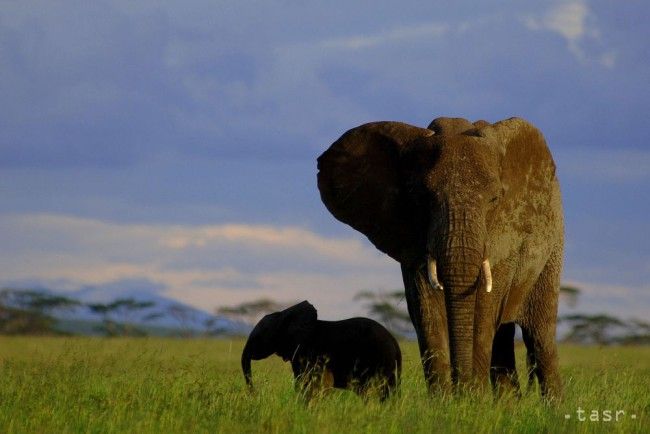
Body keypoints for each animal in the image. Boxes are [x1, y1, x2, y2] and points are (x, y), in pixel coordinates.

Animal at [239, 302, 400, 400]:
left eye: (259, 337)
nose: (254, 394)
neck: (285, 314)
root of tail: (394, 341)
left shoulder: (307, 353)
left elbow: (308, 383)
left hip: (380, 361)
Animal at [316, 117, 560, 398]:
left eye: (494, 199)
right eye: (422, 198)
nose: (461, 387)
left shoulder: (503, 238)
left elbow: (483, 313)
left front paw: (471, 401)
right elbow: (427, 311)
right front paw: (446, 402)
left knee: (540, 337)